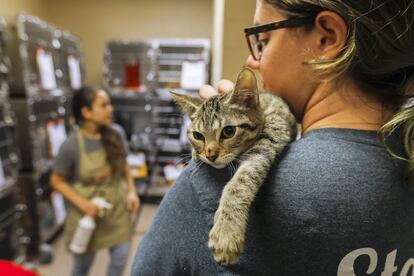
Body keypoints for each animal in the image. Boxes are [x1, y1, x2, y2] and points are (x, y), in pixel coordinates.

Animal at [171, 67, 298, 266]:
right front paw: (195, 153)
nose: (210, 155)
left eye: (229, 131)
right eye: (198, 135)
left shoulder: (270, 138)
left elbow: (238, 184)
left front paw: (226, 229)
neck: (264, 109)